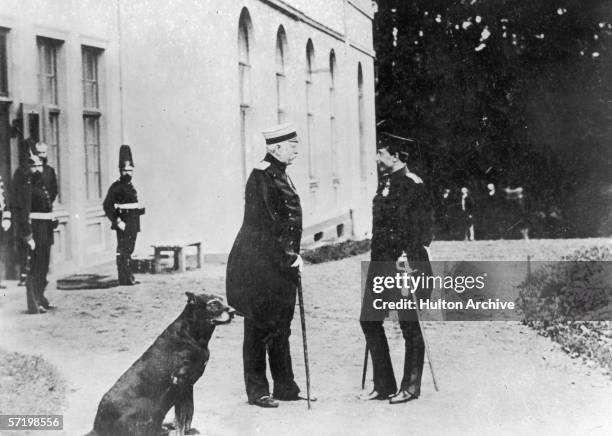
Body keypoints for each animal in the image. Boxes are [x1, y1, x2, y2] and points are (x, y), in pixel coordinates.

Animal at [87, 292, 235, 436]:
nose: (233, 311)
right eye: (213, 303)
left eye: (222, 300)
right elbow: (181, 417)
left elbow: (189, 411)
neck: (193, 334)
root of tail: (97, 427)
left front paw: (188, 431)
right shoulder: (180, 382)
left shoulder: (188, 385)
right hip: (147, 409)